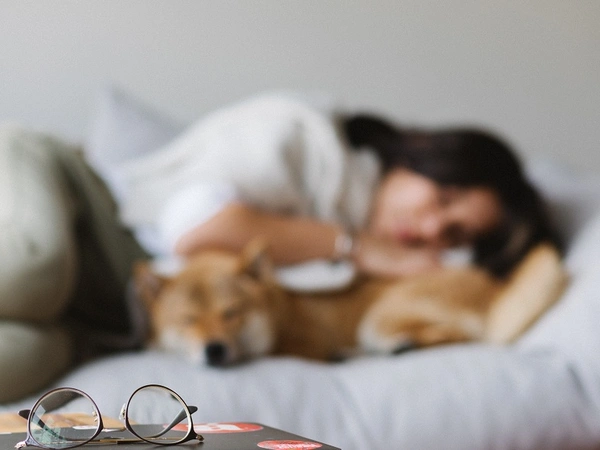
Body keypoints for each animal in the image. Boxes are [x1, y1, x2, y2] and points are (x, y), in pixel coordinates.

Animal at [134, 241, 568, 366]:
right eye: (187, 320)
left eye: (231, 313)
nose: (214, 349)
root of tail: (496, 287)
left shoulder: (308, 343)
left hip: (378, 318)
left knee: (460, 335)